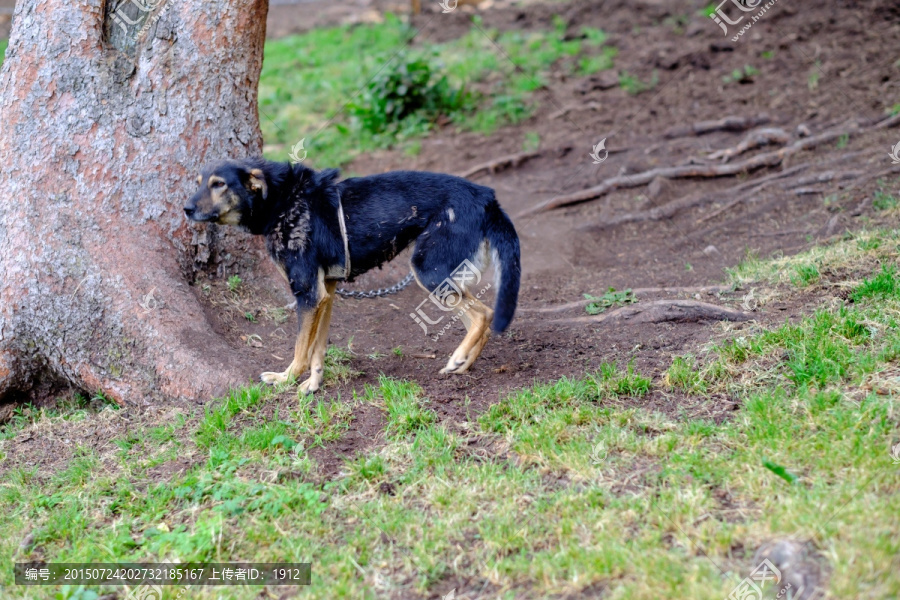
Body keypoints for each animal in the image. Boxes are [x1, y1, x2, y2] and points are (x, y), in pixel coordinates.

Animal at [183, 158, 520, 394]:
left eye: (219, 184)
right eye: (198, 183)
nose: (185, 208)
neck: (283, 200)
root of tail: (487, 197)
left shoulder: (307, 293)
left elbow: (301, 349)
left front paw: (287, 378)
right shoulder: (326, 293)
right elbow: (317, 349)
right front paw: (313, 386)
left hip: (430, 271)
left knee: (483, 314)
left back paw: (458, 358)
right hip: (444, 279)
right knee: (480, 319)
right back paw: (462, 366)